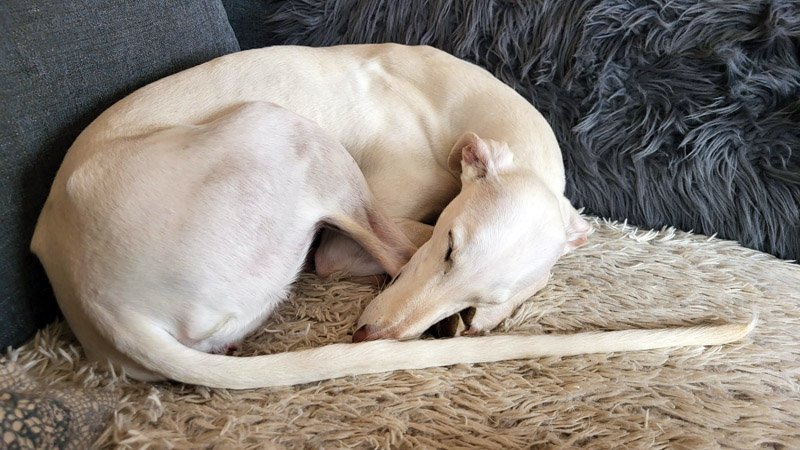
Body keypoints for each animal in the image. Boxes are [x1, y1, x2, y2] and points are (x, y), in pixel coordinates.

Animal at [32, 44, 753, 388]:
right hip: (286, 133)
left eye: (477, 300)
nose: (369, 337)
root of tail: (105, 306)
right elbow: (375, 246)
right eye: (450, 247)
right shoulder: (347, 243)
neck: (451, 104)